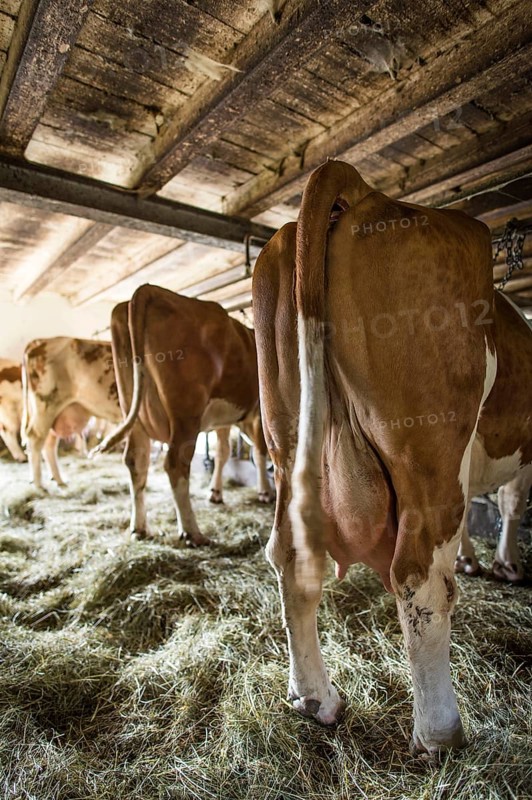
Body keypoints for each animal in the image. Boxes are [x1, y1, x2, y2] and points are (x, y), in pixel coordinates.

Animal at [22, 337, 122, 488]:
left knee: (48, 443)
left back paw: (59, 481)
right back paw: (40, 486)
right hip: (46, 406)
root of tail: (40, 341)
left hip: (55, 413)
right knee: (35, 438)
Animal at [93, 284, 271, 544]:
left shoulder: (223, 419)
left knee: (136, 460)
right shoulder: (258, 413)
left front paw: (216, 492)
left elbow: (222, 452)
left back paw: (139, 527)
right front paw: (265, 492)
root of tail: (149, 289)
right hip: (186, 413)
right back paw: (192, 532)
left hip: (133, 410)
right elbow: (260, 451)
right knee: (176, 463)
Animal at [252, 160, 532, 756]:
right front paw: (505, 564)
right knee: (419, 579)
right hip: (429, 456)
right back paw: (441, 734)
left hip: (286, 446)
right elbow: (510, 502)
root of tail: (363, 192)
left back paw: (315, 698)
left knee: (288, 559)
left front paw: (478, 560)